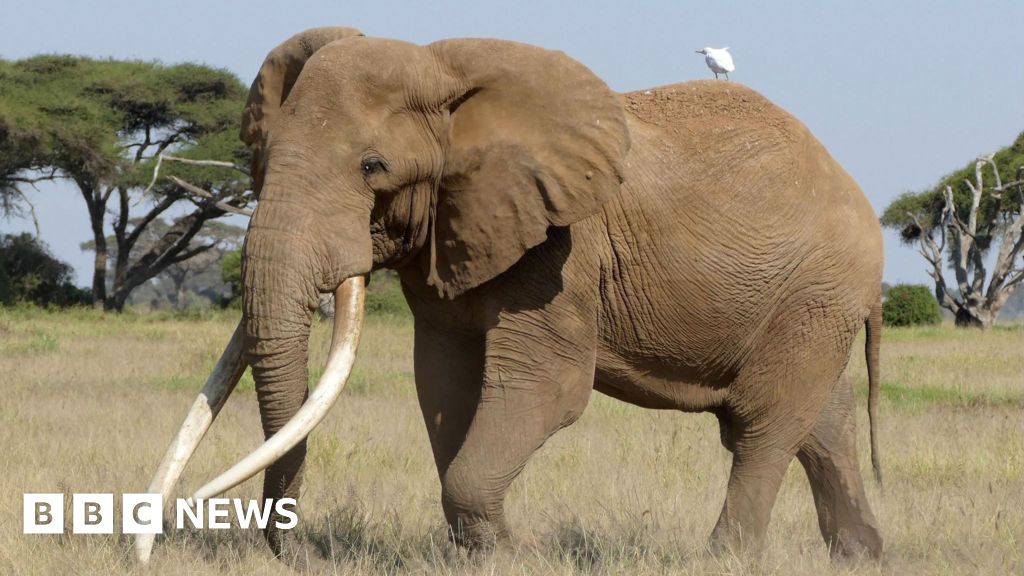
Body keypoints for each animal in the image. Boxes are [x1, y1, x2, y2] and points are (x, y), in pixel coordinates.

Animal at [136, 26, 885, 564]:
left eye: (373, 167)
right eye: (260, 161)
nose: (294, 553)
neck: (444, 76)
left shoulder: (562, 248)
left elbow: (545, 387)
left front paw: (523, 554)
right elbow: (445, 383)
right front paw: (488, 552)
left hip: (818, 289)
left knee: (763, 425)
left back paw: (723, 561)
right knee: (823, 420)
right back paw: (861, 558)